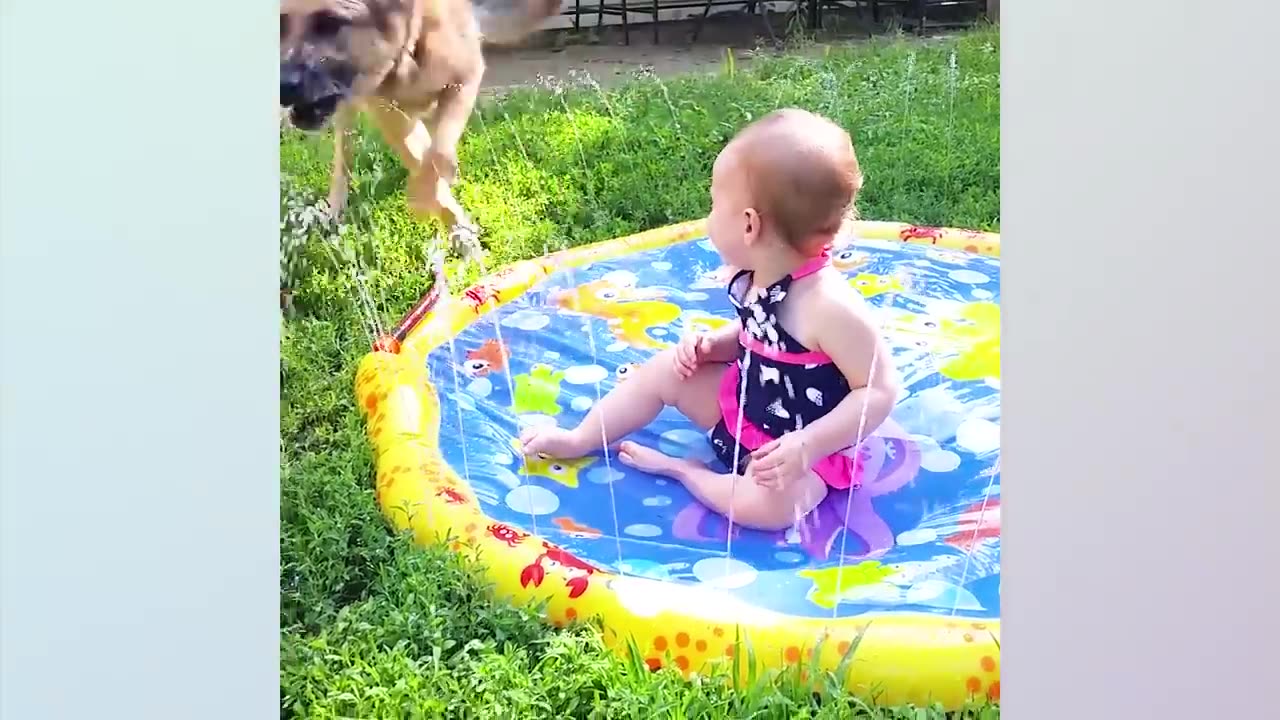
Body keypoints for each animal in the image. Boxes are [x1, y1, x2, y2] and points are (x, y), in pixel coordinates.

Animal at [280, 0, 560, 256]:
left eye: (330, 22)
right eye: (281, 23)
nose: (282, 86)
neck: (408, 53)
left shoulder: (464, 80)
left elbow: (437, 154)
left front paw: (436, 203)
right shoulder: (390, 112)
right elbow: (424, 158)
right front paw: (458, 231)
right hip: (350, 113)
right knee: (343, 158)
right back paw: (336, 205)